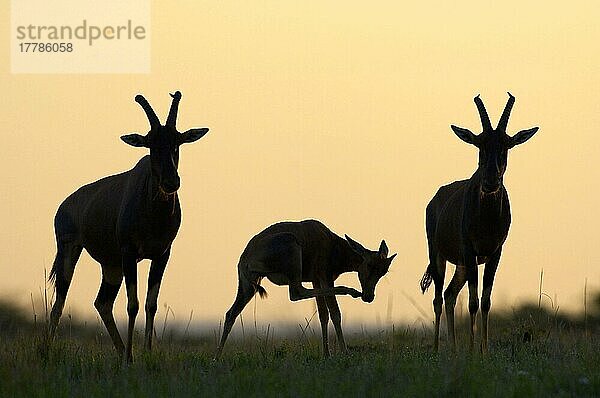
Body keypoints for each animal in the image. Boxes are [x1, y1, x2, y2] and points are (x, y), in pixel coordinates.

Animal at [48, 90, 210, 360]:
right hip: (71, 250)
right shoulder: (129, 253)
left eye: (177, 141)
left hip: (111, 265)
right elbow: (132, 305)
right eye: (151, 144)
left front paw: (145, 353)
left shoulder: (162, 255)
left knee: (102, 302)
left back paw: (122, 350)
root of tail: (66, 203)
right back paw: (48, 350)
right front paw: (131, 359)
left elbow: (150, 304)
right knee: (59, 300)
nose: (171, 182)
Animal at [213, 219, 396, 360]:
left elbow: (323, 314)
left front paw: (326, 354)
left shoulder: (316, 281)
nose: (368, 296)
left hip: (248, 287)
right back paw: (351, 291)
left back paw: (217, 358)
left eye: (384, 271)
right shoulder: (325, 278)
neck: (331, 242)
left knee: (231, 313)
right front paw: (344, 352)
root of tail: (246, 257)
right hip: (291, 259)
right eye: (370, 264)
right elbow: (335, 313)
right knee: (296, 293)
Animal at [422, 94, 540, 354]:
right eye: (479, 144)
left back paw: (454, 349)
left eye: (506, 145)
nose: (490, 182)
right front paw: (473, 351)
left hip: (463, 265)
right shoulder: (470, 250)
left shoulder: (494, 253)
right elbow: (473, 302)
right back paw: (436, 349)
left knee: (450, 294)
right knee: (438, 298)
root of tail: (435, 198)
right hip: (439, 256)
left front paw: (484, 351)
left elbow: (485, 301)